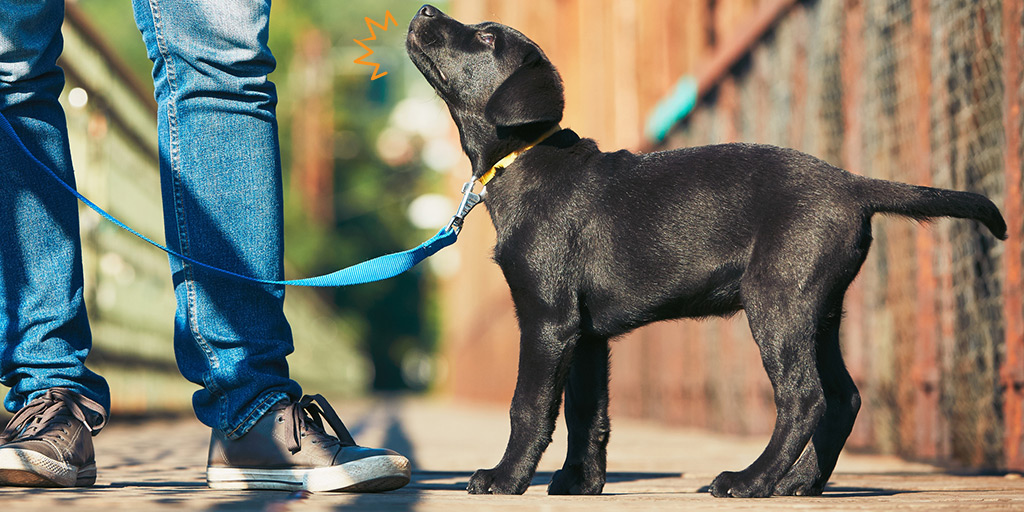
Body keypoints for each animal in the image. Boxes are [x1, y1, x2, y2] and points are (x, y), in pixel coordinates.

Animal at [403, 4, 1003, 499]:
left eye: (485, 36)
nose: (425, 8)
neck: (524, 158)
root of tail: (853, 184)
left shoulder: (548, 318)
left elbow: (529, 406)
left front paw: (505, 478)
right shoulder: (586, 333)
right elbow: (586, 414)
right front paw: (580, 482)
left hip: (777, 302)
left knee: (804, 398)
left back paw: (751, 481)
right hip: (819, 310)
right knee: (843, 398)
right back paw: (799, 484)